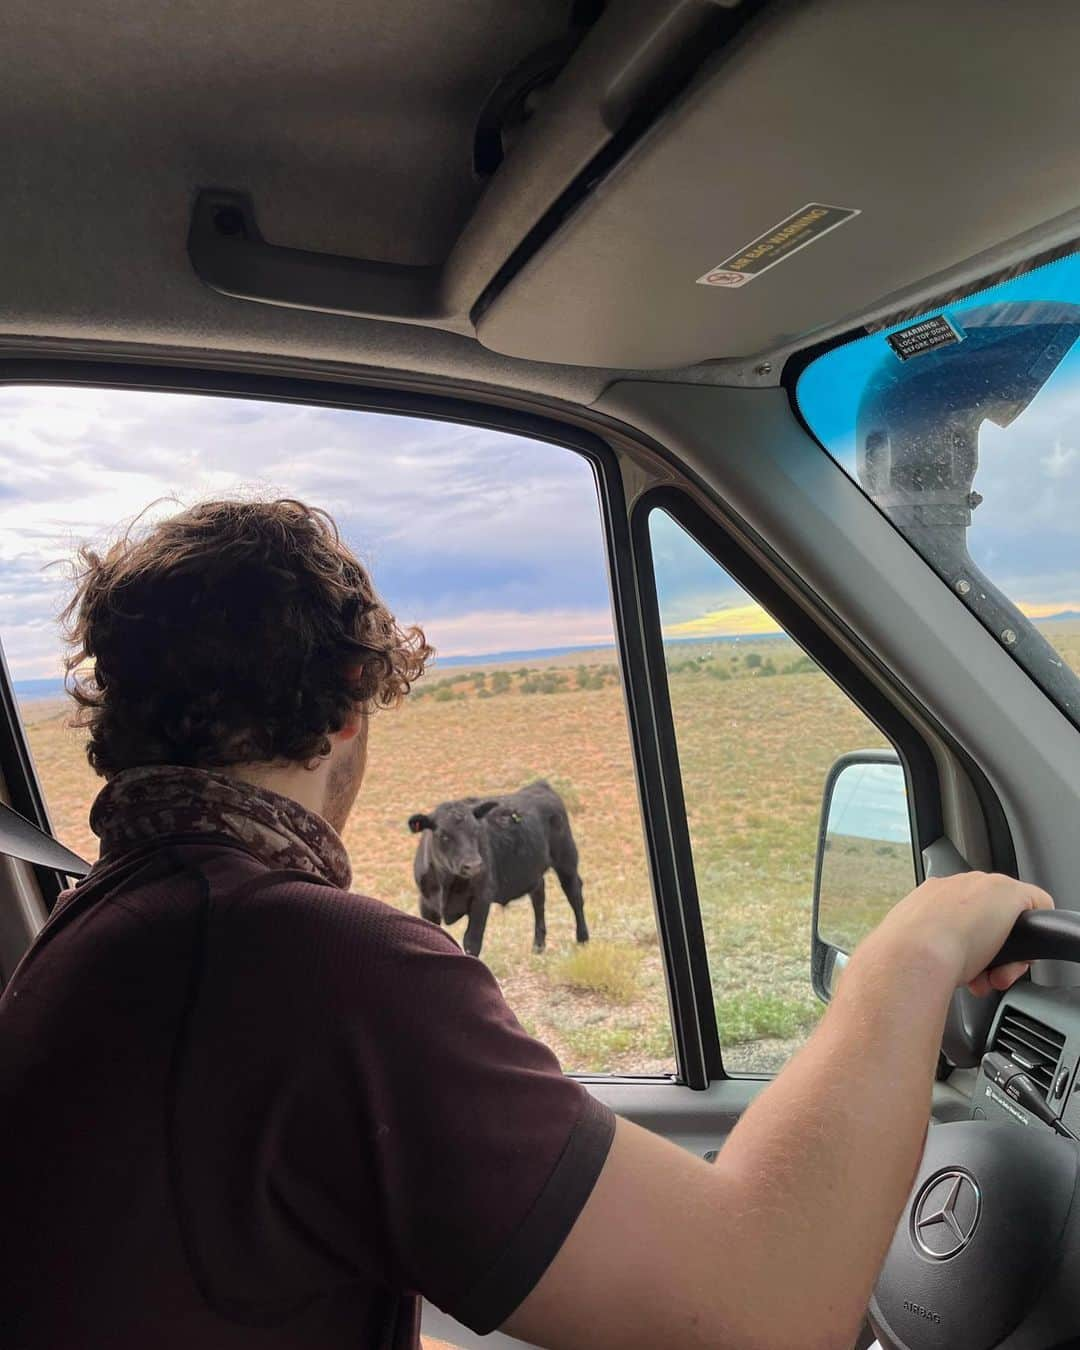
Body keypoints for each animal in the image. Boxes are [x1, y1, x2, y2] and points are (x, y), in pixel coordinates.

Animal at [407, 783, 591, 961]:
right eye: (443, 835)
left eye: (476, 830)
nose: (474, 865)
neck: (447, 884)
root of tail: (539, 785)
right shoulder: (426, 903)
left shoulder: (482, 899)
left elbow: (471, 942)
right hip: (533, 872)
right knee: (539, 899)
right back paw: (538, 947)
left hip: (566, 859)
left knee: (574, 894)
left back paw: (583, 940)